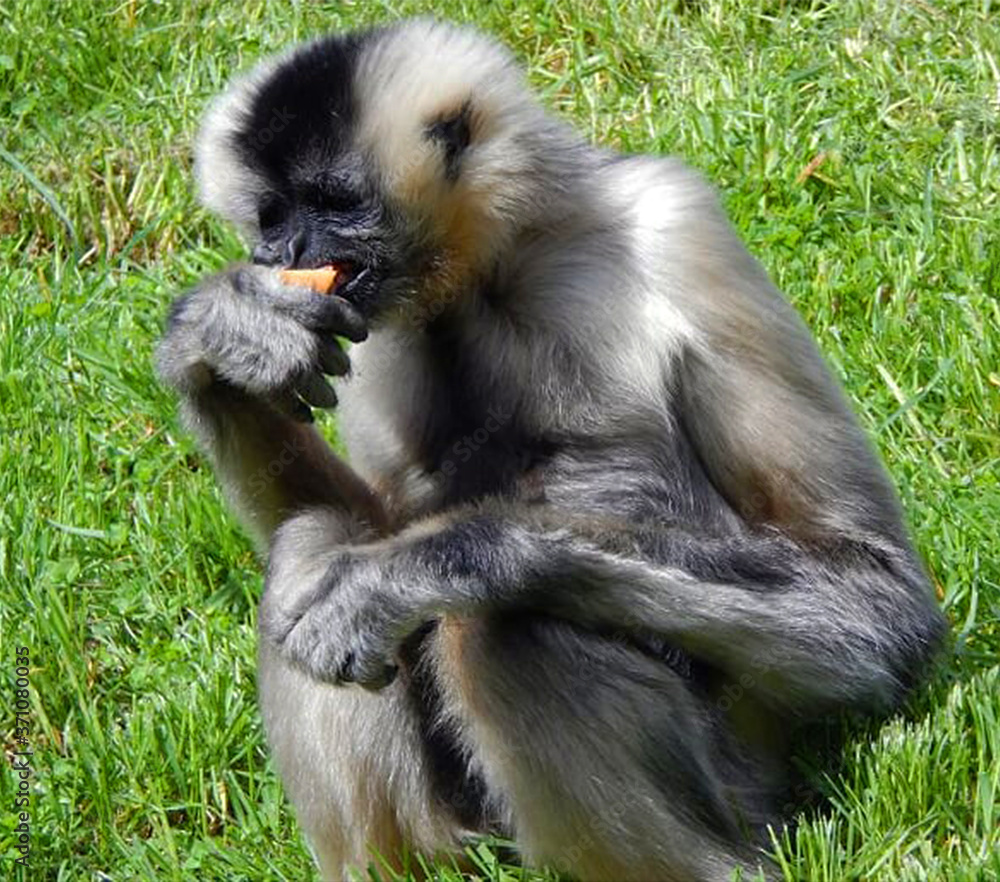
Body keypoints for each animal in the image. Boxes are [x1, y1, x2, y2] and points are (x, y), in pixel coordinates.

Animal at [156, 18, 946, 882]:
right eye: (272, 216)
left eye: (334, 201)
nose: (289, 252)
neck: (492, 271)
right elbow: (346, 515)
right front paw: (221, 337)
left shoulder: (674, 223)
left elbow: (879, 602)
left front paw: (438, 559)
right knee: (311, 543)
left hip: (740, 776)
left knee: (510, 625)